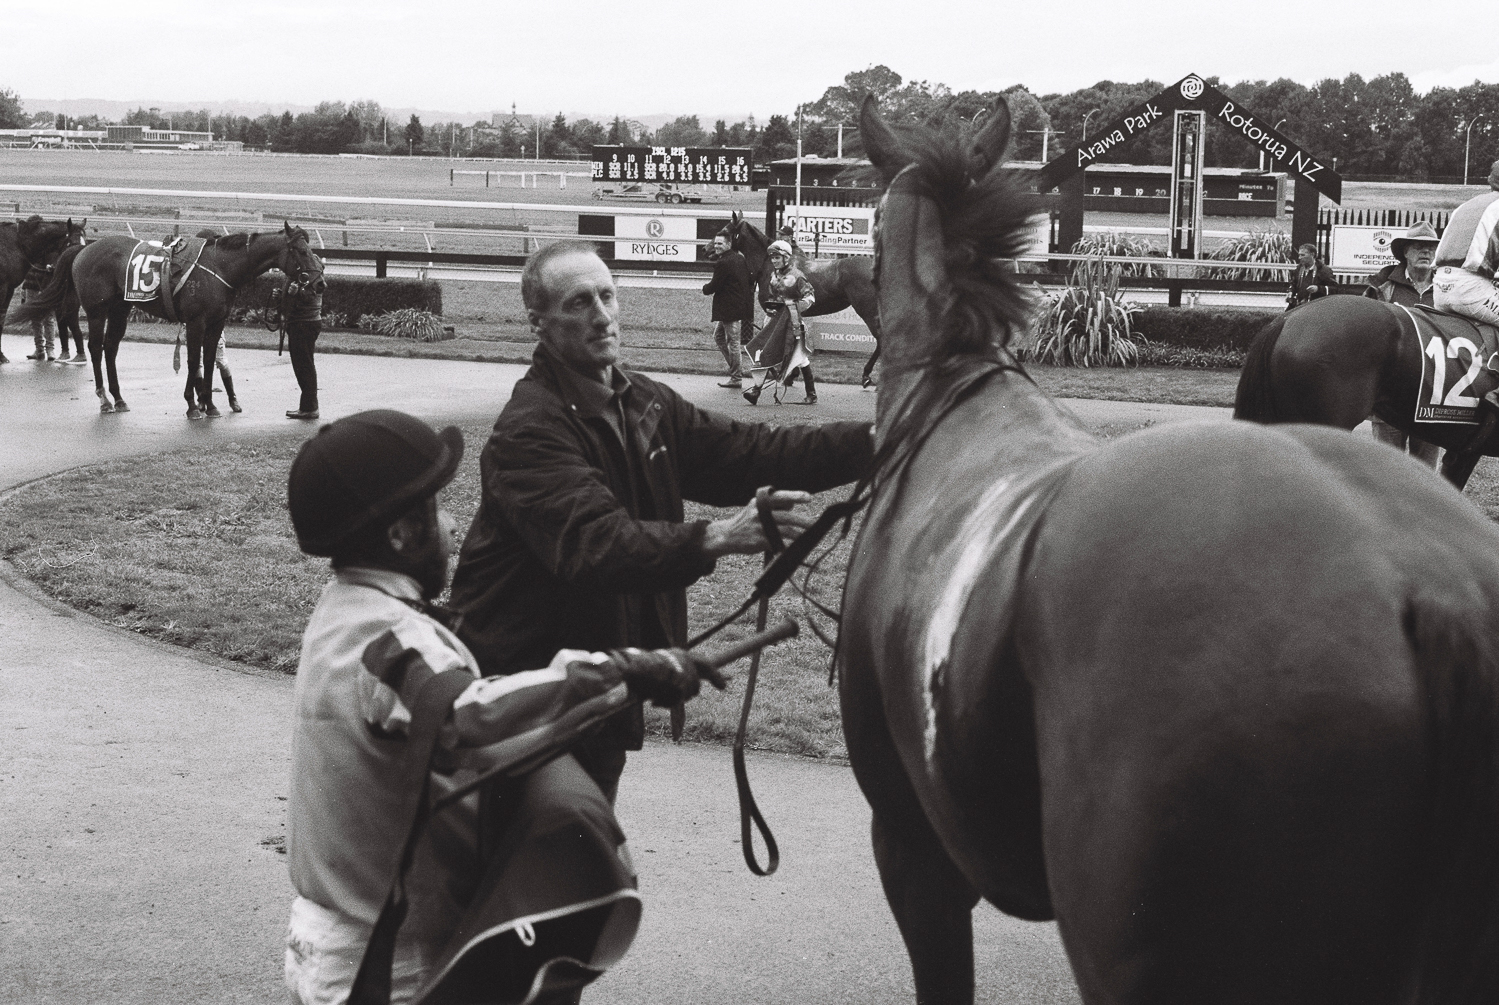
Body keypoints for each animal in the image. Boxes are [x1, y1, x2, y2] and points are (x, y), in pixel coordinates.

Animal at [0, 214, 73, 364]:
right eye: (71, 243)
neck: (14, 244)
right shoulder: (2, 287)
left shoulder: (9, 289)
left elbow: (2, 319)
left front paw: (1, 355)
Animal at [6, 223, 322, 417]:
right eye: (301, 250)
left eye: (312, 250)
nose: (319, 283)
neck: (219, 266)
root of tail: (83, 249)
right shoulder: (196, 322)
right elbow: (194, 360)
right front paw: (194, 405)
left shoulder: (215, 324)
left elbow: (209, 361)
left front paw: (210, 405)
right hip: (97, 311)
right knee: (96, 348)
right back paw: (104, 399)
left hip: (120, 310)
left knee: (110, 348)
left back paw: (119, 398)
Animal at [719, 210, 881, 387]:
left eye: (725, 231)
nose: (709, 249)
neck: (773, 266)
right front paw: (791, 373)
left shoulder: (772, 311)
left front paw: (780, 372)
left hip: (868, 312)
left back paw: (866, 375)